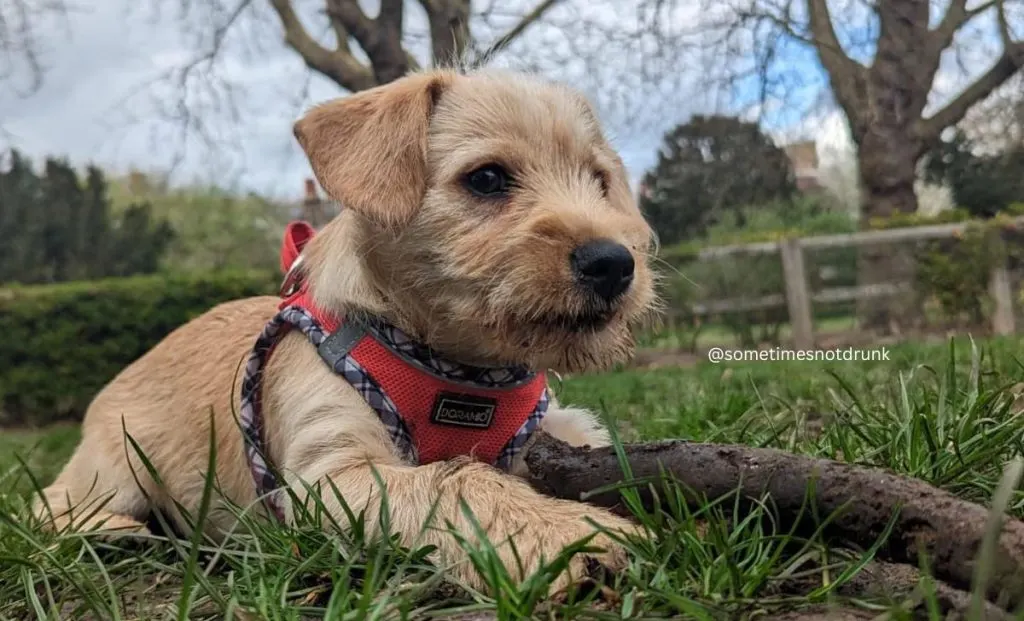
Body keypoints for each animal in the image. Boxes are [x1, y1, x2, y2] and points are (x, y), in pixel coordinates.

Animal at [36, 68, 659, 594]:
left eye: (600, 180)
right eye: (486, 178)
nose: (613, 263)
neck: (460, 367)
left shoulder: (551, 428)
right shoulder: (330, 477)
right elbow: (455, 479)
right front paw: (572, 534)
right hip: (117, 465)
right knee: (45, 503)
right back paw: (114, 531)